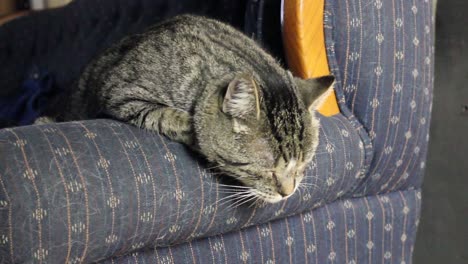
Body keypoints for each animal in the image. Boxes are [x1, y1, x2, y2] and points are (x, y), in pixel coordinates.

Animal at [51, 14, 334, 203]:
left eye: (302, 166)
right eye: (265, 171)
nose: (288, 193)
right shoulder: (122, 93)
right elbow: (173, 117)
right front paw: (197, 134)